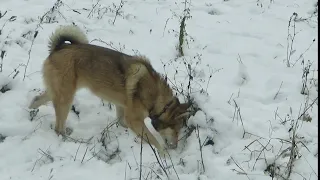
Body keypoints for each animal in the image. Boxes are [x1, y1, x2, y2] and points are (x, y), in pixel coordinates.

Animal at [28, 24, 190, 153]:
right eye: (176, 130)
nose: (175, 147)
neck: (158, 99)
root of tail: (59, 48)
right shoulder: (135, 120)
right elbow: (155, 142)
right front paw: (164, 156)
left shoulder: (122, 108)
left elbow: (122, 122)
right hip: (66, 98)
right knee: (58, 128)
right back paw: (71, 141)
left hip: (59, 93)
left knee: (37, 100)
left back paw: (30, 111)